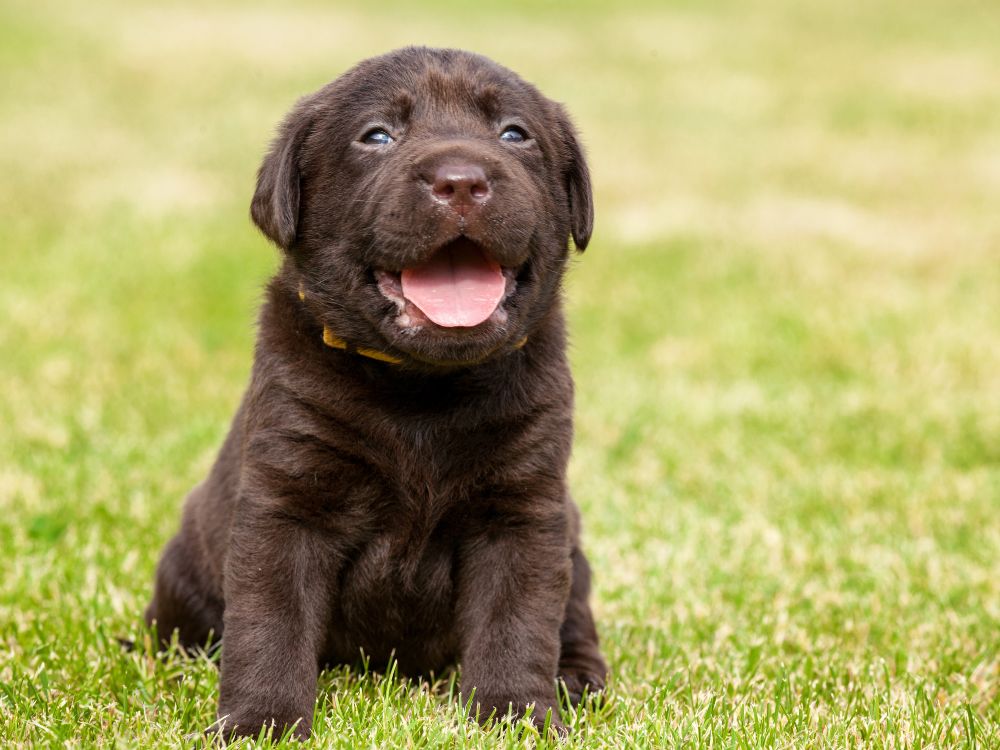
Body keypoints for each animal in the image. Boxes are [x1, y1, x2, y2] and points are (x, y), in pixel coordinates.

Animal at [145, 47, 604, 740]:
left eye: (514, 134)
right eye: (378, 136)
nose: (462, 181)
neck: (422, 388)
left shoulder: (522, 512)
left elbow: (517, 624)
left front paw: (515, 717)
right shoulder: (288, 502)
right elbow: (270, 625)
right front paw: (261, 723)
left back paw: (576, 680)